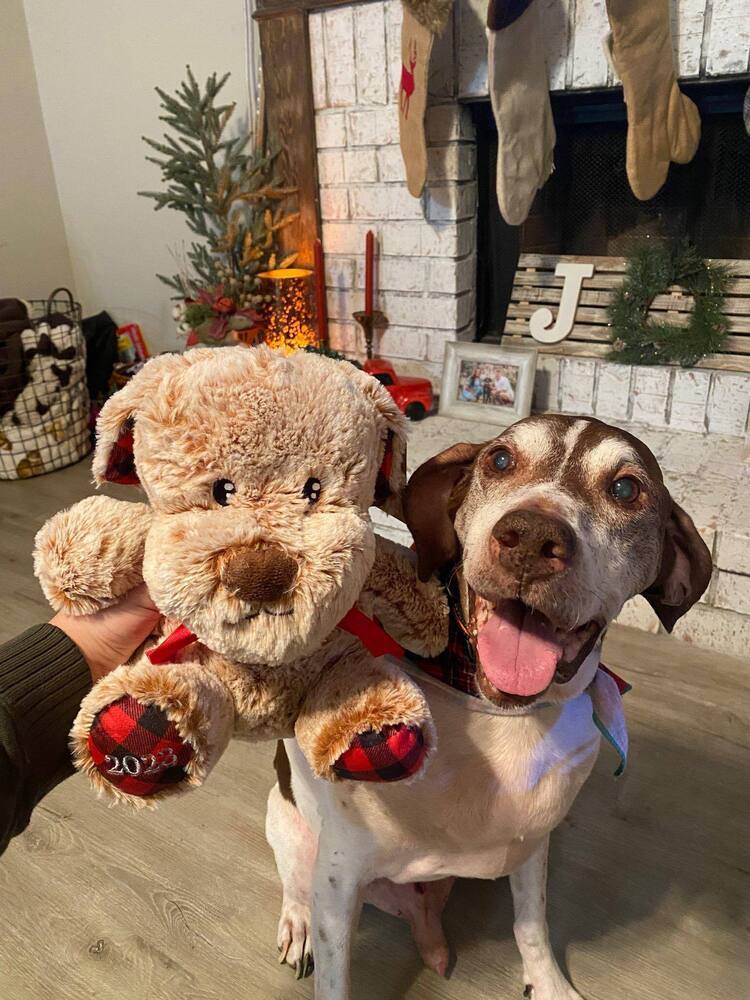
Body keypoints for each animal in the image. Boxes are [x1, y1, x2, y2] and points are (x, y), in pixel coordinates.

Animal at [268, 410, 712, 996]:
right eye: (500, 459)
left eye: (625, 489)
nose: (532, 538)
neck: (496, 709)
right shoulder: (339, 879)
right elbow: (335, 978)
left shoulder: (531, 845)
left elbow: (532, 923)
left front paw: (547, 982)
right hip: (287, 824)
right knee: (296, 880)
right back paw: (296, 923)